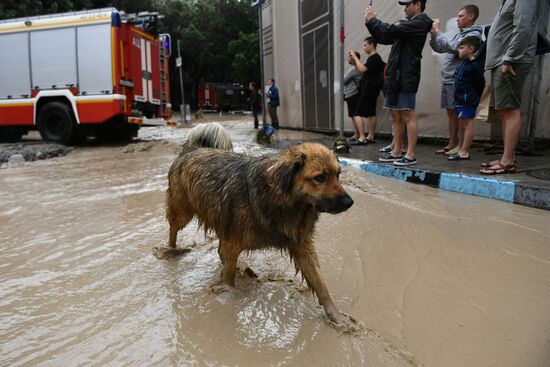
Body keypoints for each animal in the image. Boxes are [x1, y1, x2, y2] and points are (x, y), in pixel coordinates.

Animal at [157, 125, 360, 332]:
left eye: (338, 175)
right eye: (319, 178)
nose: (349, 202)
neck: (285, 202)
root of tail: (191, 149)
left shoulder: (301, 245)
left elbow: (320, 285)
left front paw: (336, 316)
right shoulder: (233, 240)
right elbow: (228, 275)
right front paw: (228, 294)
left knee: (219, 250)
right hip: (182, 211)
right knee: (173, 229)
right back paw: (170, 251)